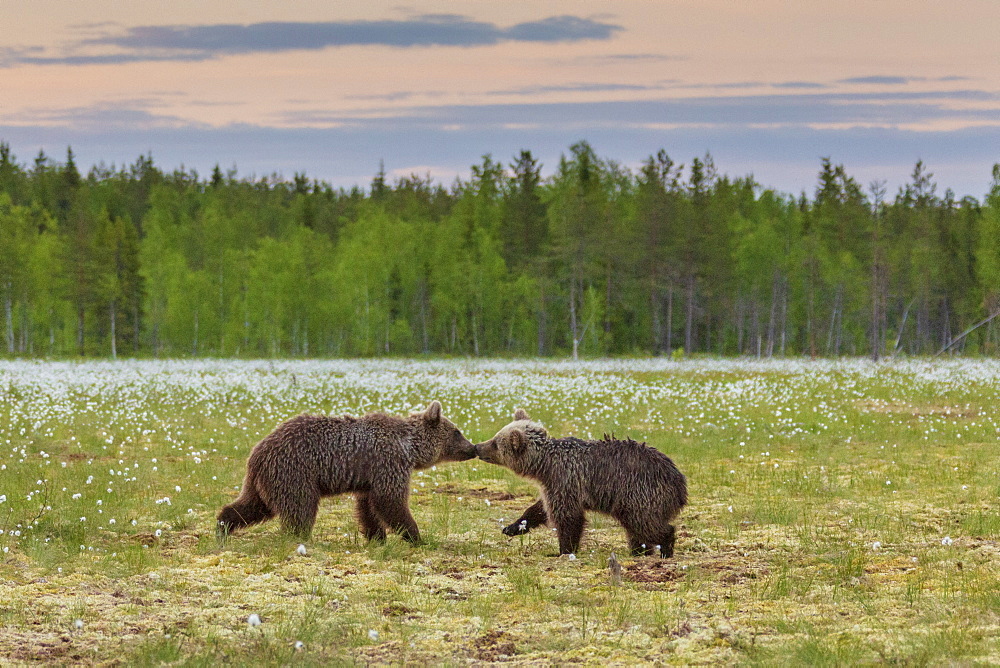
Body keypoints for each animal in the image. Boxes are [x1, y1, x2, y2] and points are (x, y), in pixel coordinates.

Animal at [217, 400, 474, 540]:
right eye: (457, 431)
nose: (473, 448)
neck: (410, 447)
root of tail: (257, 452)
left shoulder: (369, 478)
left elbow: (368, 507)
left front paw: (377, 537)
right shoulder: (388, 463)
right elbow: (390, 500)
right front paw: (416, 536)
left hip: (264, 480)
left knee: (252, 505)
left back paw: (223, 526)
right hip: (295, 471)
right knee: (301, 507)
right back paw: (301, 537)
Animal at [476, 410, 688, 556]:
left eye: (495, 443)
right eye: (495, 437)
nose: (477, 447)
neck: (544, 466)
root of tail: (679, 482)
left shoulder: (565, 480)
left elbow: (567, 517)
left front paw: (564, 550)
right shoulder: (553, 485)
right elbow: (539, 509)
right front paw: (512, 527)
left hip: (639, 493)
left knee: (645, 523)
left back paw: (665, 548)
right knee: (636, 529)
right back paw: (639, 551)